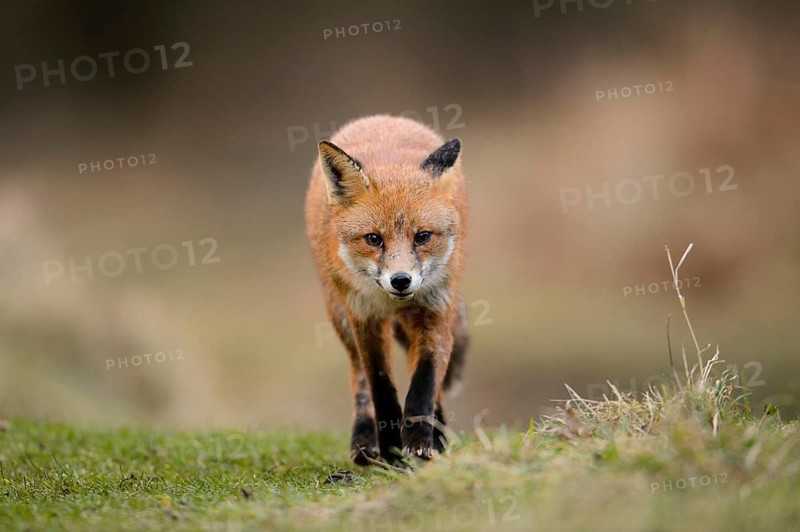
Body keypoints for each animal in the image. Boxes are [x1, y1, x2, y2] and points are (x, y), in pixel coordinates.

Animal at [305, 115, 469, 465]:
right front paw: (392, 448)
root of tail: (384, 119)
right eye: (373, 239)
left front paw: (420, 442)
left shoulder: (436, 312)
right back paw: (363, 443)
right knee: (359, 380)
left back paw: (437, 437)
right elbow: (380, 385)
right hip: (340, 317)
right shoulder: (364, 320)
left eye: (422, 237)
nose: (401, 280)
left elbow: (424, 383)